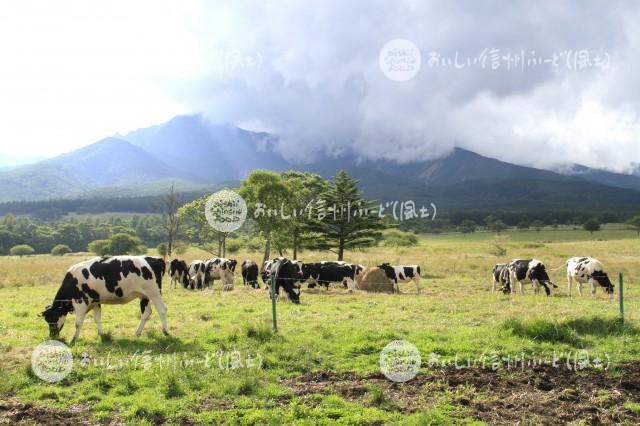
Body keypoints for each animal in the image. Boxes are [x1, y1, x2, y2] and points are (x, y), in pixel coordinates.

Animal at [40, 256, 169, 342]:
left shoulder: (80, 302)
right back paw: (137, 333)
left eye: (53, 318)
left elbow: (78, 323)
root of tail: (156, 258)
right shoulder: (95, 302)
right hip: (144, 295)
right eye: (46, 319)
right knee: (146, 313)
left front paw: (74, 339)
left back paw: (166, 331)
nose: (52, 335)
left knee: (162, 310)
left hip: (154, 293)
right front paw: (101, 334)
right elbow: (97, 319)